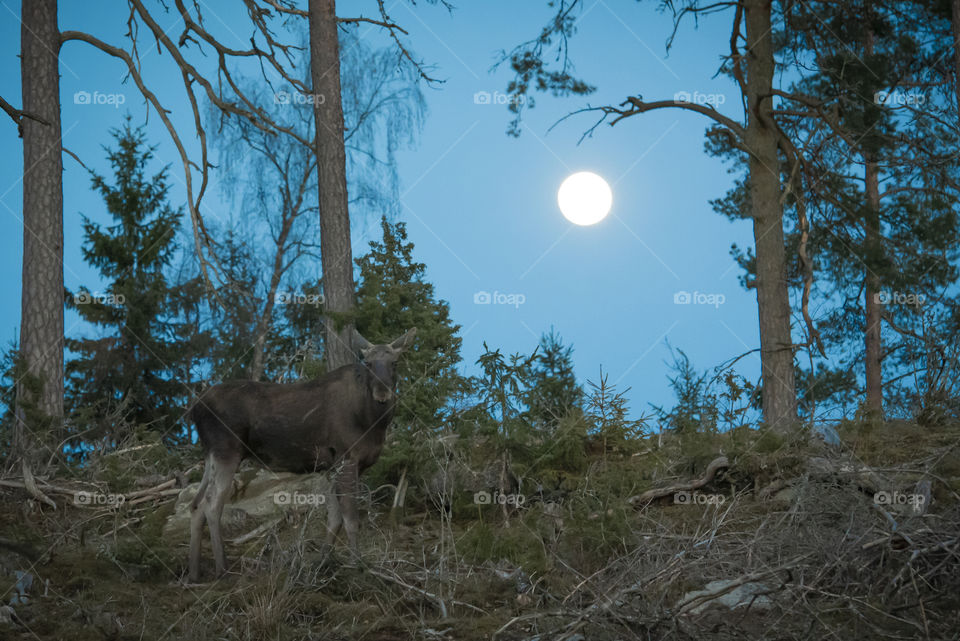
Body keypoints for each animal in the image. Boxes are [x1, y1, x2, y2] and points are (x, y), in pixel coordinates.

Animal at [187, 328, 416, 582]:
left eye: (395, 362)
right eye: (368, 363)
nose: (382, 394)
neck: (374, 423)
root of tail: (195, 409)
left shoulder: (332, 466)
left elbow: (334, 519)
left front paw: (325, 562)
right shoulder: (347, 458)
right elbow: (351, 519)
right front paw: (358, 566)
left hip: (210, 455)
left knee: (195, 505)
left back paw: (194, 573)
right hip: (227, 451)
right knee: (211, 504)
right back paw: (222, 569)